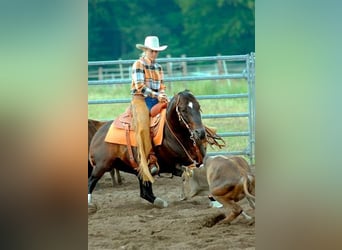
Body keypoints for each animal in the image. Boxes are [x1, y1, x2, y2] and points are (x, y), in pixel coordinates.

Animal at [87, 90, 224, 209]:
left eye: (198, 107)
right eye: (183, 109)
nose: (200, 133)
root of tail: (98, 132)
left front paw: (215, 200)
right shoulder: (174, 167)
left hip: (139, 170)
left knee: (145, 192)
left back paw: (160, 202)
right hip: (102, 165)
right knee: (91, 182)